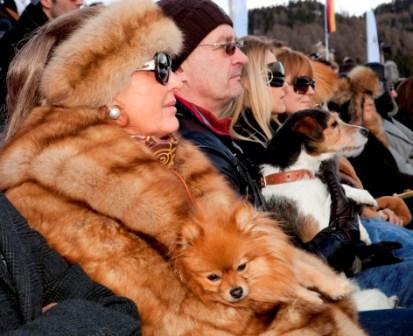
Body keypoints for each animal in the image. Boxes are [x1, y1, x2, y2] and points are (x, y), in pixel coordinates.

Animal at [172, 203, 366, 334]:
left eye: (241, 267)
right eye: (213, 277)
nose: (236, 292)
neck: (265, 268)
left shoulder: (286, 260)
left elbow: (312, 275)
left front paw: (338, 288)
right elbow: (294, 290)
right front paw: (313, 298)